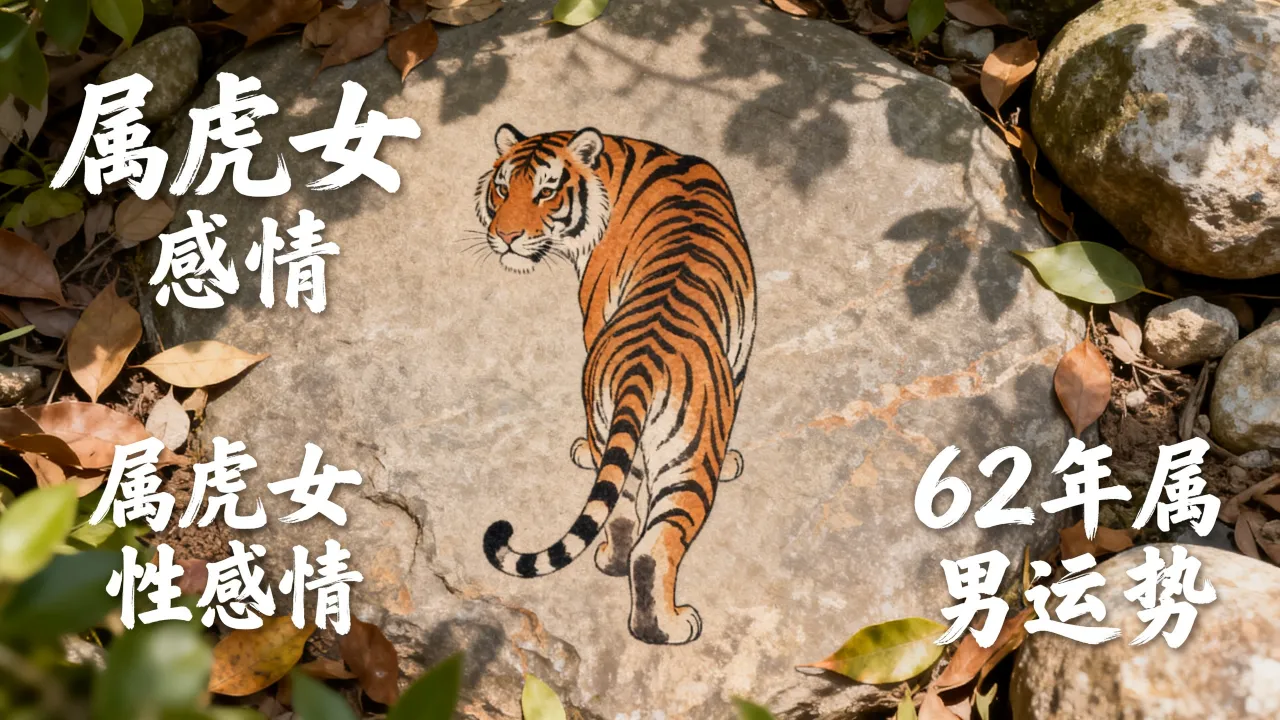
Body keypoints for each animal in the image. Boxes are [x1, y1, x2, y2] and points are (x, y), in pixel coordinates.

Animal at [475, 124, 756, 645]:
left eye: (545, 192)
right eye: (503, 190)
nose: (505, 237)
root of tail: (642, 367)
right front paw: (730, 461)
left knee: (624, 510)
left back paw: (616, 566)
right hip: (687, 461)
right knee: (655, 543)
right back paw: (669, 626)